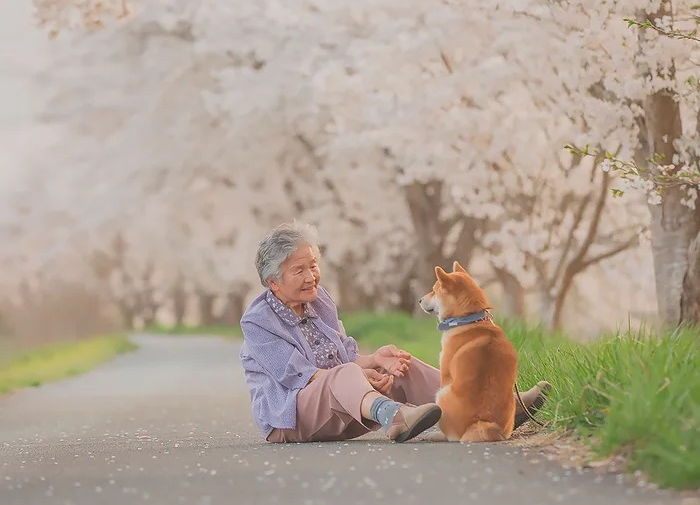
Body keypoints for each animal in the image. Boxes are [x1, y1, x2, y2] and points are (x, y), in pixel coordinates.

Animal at [418, 262, 516, 440]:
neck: (469, 319)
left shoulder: (445, 373)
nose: (419, 299)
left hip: (441, 395)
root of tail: (481, 422)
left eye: (434, 290)